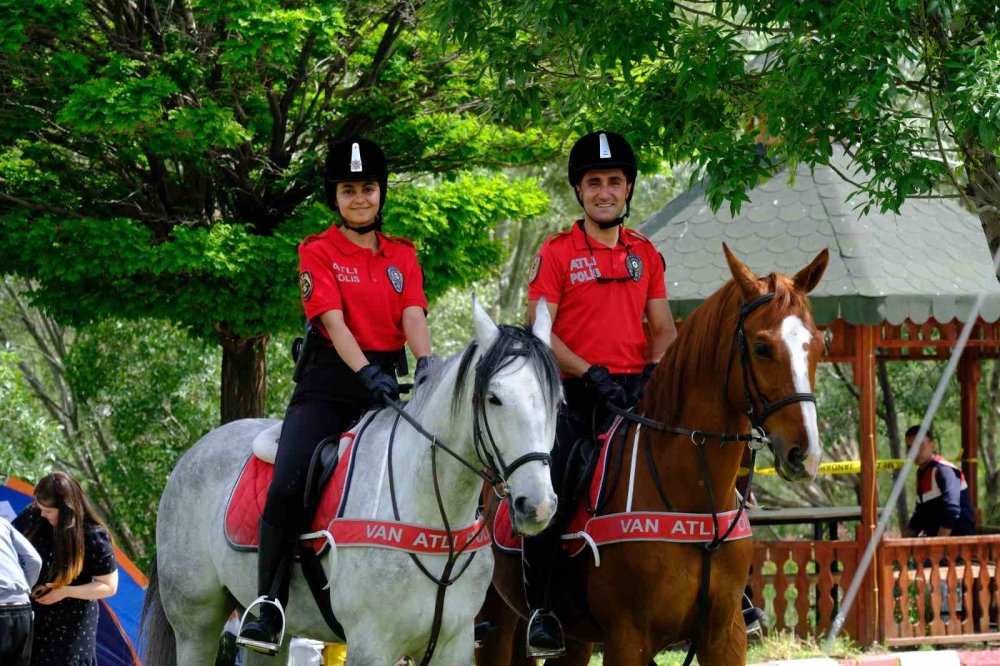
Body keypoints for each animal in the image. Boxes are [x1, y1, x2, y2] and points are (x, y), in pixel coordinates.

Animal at [476, 245, 828, 664]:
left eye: (819, 346)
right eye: (761, 347)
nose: (804, 454)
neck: (693, 498)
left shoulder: (725, 634)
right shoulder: (628, 639)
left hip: (573, 640)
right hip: (495, 622)